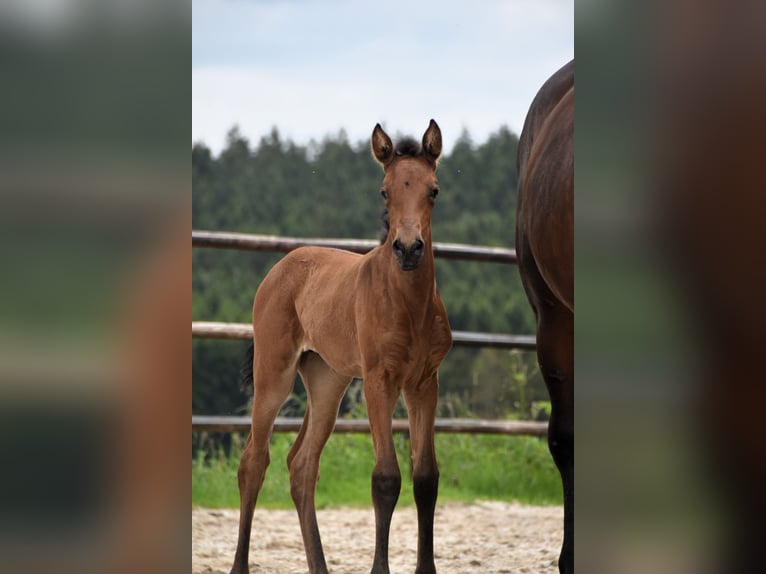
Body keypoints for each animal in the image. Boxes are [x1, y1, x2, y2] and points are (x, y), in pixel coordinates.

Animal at [231, 119, 452, 572]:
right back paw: (240, 565)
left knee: (301, 465)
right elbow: (386, 478)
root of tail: (281, 267)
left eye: (434, 190)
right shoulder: (379, 381)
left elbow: (426, 478)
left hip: (326, 380)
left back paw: (319, 566)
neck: (408, 304)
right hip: (274, 375)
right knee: (253, 462)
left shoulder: (424, 383)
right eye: (385, 190)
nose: (408, 249)